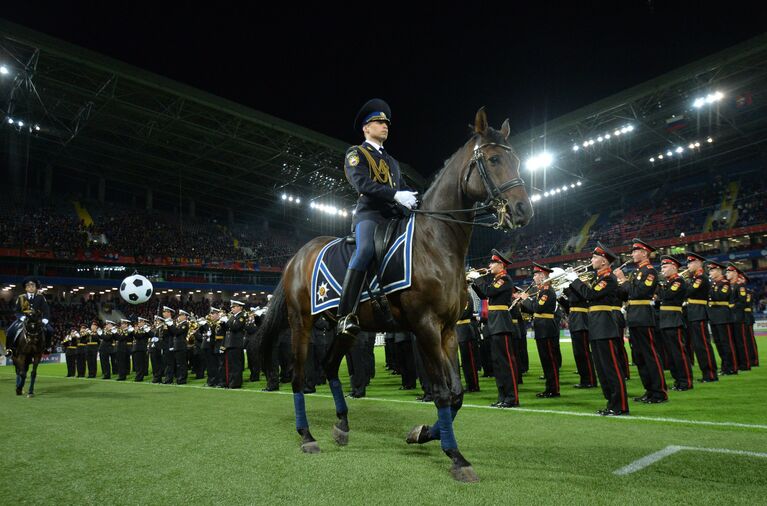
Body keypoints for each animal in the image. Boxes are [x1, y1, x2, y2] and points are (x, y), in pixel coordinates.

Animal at [260, 107, 536, 482]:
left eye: (517, 160)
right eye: (493, 159)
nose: (523, 211)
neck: (435, 242)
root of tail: (296, 257)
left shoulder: (448, 330)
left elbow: (457, 393)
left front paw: (423, 434)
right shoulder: (426, 327)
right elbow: (443, 392)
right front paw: (456, 457)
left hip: (347, 329)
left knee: (330, 367)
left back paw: (342, 425)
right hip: (301, 323)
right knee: (300, 377)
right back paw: (306, 436)